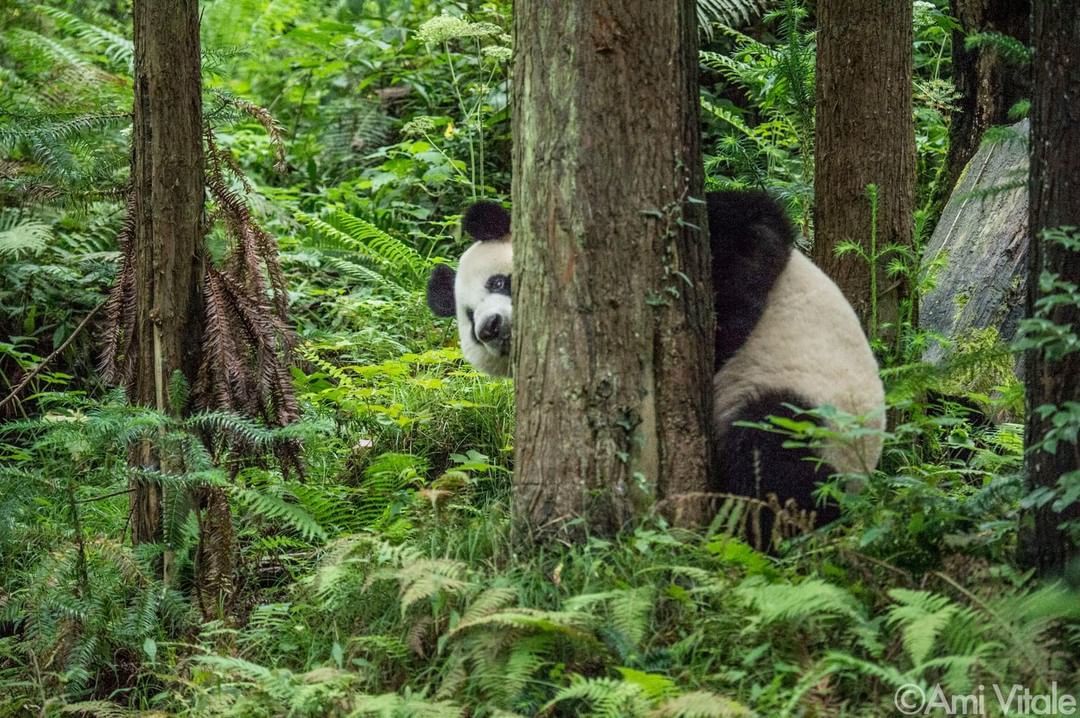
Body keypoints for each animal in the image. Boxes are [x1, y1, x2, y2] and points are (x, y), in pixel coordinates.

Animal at [427, 190, 885, 537]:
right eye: (468, 319)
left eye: (499, 282)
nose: (490, 327)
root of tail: (861, 480)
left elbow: (756, 225)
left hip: (825, 415)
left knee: (772, 449)